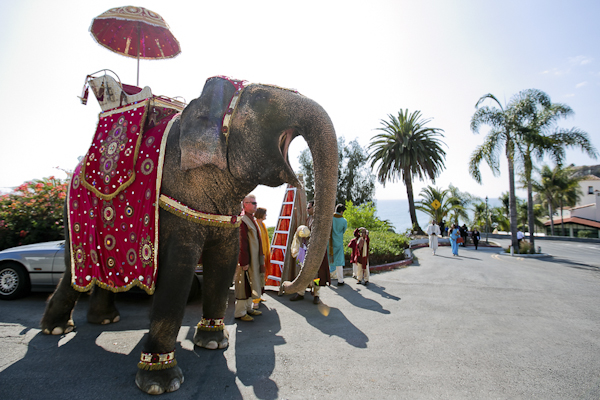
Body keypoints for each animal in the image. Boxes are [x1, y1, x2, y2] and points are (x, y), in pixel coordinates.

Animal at [38, 76, 338, 396]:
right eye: (262, 102)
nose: (284, 287)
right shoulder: (176, 200)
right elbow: (179, 271)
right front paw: (160, 381)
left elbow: (224, 262)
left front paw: (214, 343)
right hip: (75, 214)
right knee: (72, 268)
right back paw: (57, 328)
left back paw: (104, 319)